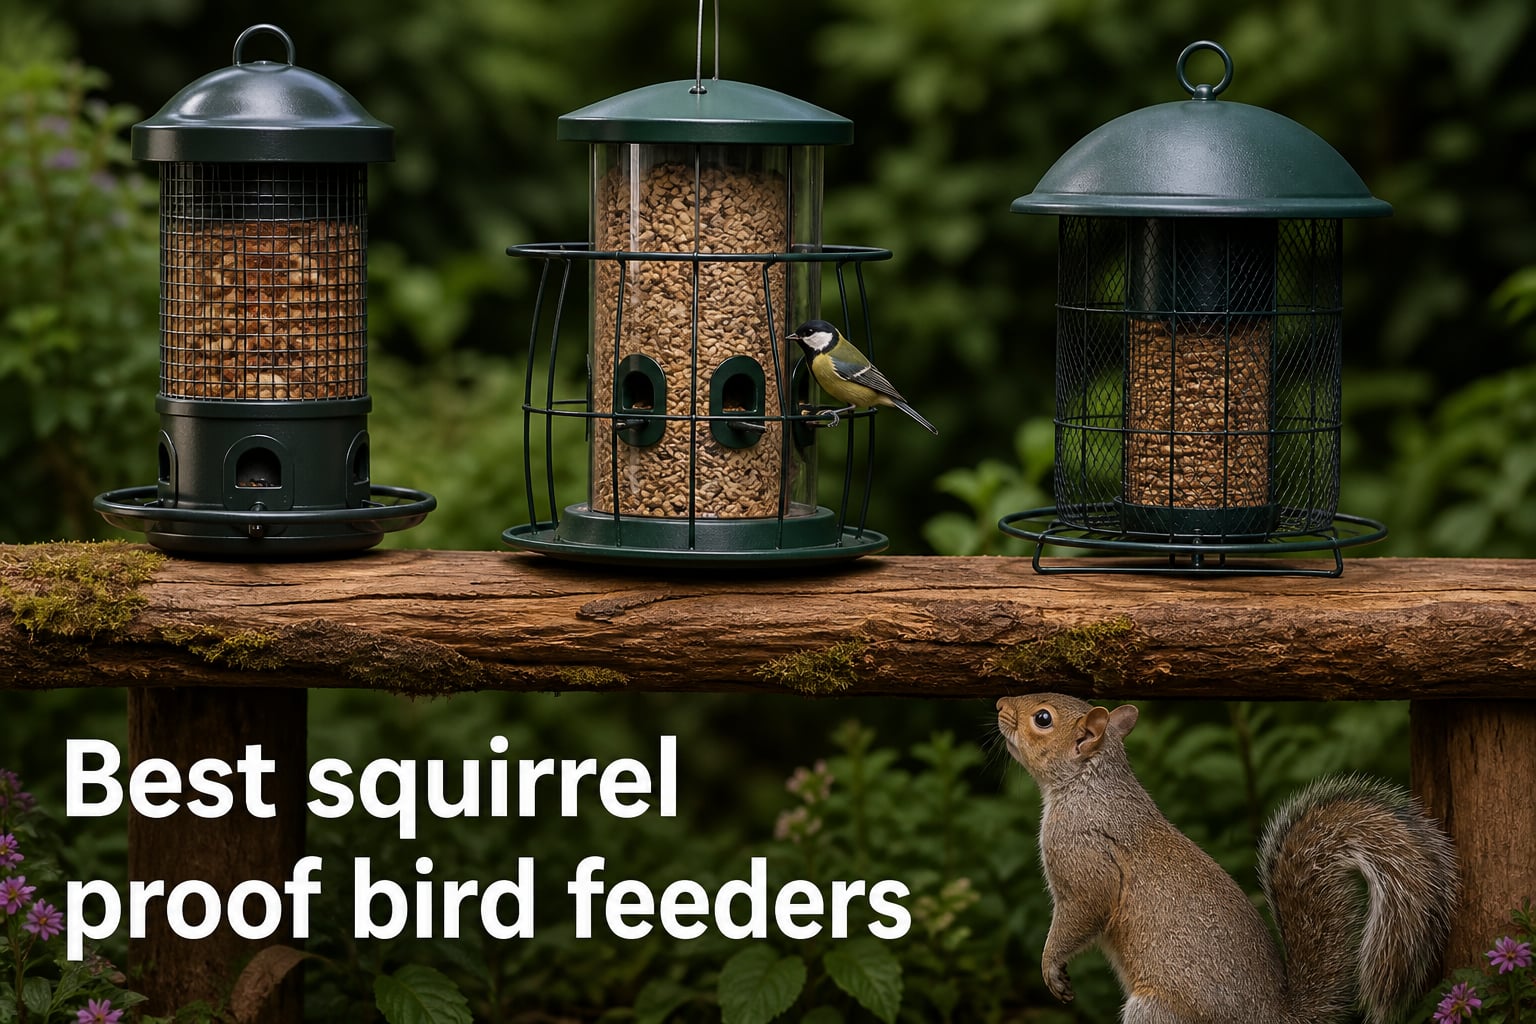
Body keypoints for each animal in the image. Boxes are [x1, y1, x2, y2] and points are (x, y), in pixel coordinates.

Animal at [996, 693, 1458, 1024]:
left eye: (1042, 719)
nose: (999, 705)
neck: (1086, 786)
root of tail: (1274, 1018)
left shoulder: (1085, 857)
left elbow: (1083, 912)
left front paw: (1051, 966)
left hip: (1158, 1013)